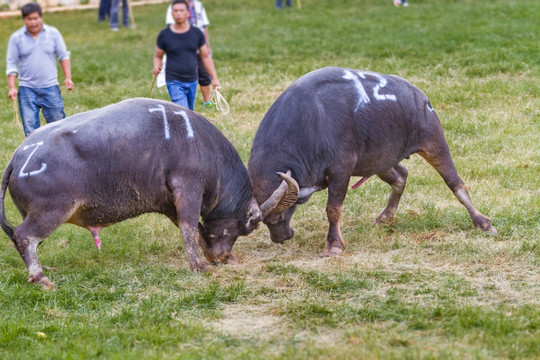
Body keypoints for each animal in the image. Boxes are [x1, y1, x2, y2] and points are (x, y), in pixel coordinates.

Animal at [0, 97, 286, 288]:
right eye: (248, 225)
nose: (223, 256)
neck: (202, 146)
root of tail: (19, 156)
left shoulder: (170, 202)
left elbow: (195, 228)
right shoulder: (188, 188)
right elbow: (189, 226)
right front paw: (199, 266)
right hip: (50, 212)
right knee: (24, 236)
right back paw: (41, 278)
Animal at [249, 66, 498, 258]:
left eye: (281, 215)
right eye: (265, 221)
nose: (281, 237)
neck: (310, 121)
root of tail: (422, 98)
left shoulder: (341, 170)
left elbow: (333, 209)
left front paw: (334, 246)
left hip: (435, 142)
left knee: (456, 184)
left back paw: (483, 222)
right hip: (380, 160)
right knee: (401, 176)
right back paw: (386, 217)